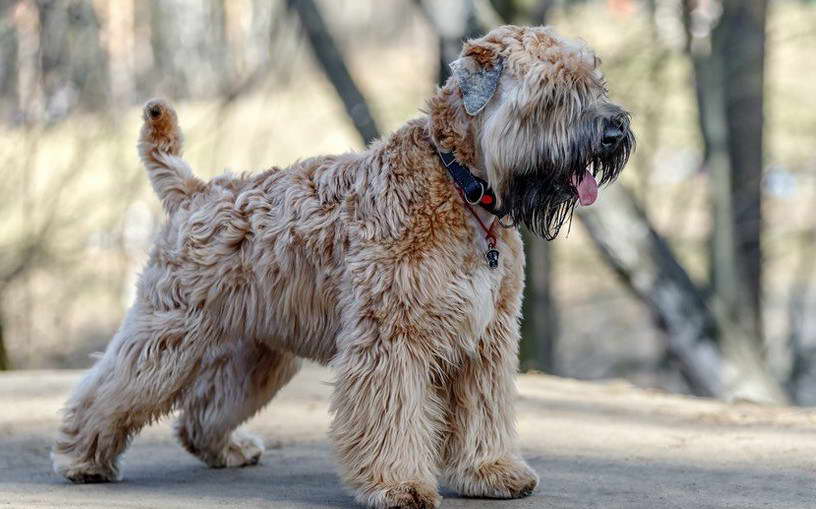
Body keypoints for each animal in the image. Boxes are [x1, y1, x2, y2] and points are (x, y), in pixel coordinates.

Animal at [54, 24, 636, 508]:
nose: (614, 133)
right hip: (169, 334)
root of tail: (194, 191)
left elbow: (483, 412)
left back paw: (228, 449)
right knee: (110, 390)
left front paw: (489, 471)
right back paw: (81, 458)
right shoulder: (392, 338)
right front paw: (398, 486)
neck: (461, 187)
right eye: (552, 92)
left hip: (257, 352)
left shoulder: (485, 341)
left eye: (594, 81)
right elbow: (392, 417)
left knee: (203, 410)